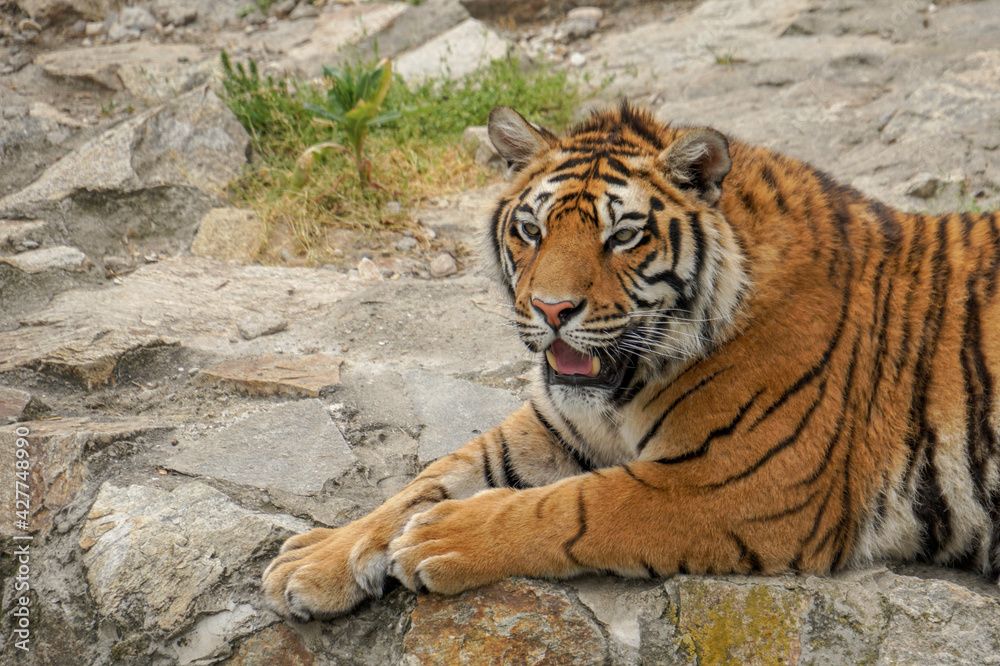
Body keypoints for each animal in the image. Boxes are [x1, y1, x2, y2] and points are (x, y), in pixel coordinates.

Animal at [262, 101, 1000, 622]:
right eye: (530, 229)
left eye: (623, 236)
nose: (552, 309)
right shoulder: (556, 424)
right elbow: (429, 478)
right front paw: (316, 560)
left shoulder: (738, 482)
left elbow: (580, 506)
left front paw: (443, 538)